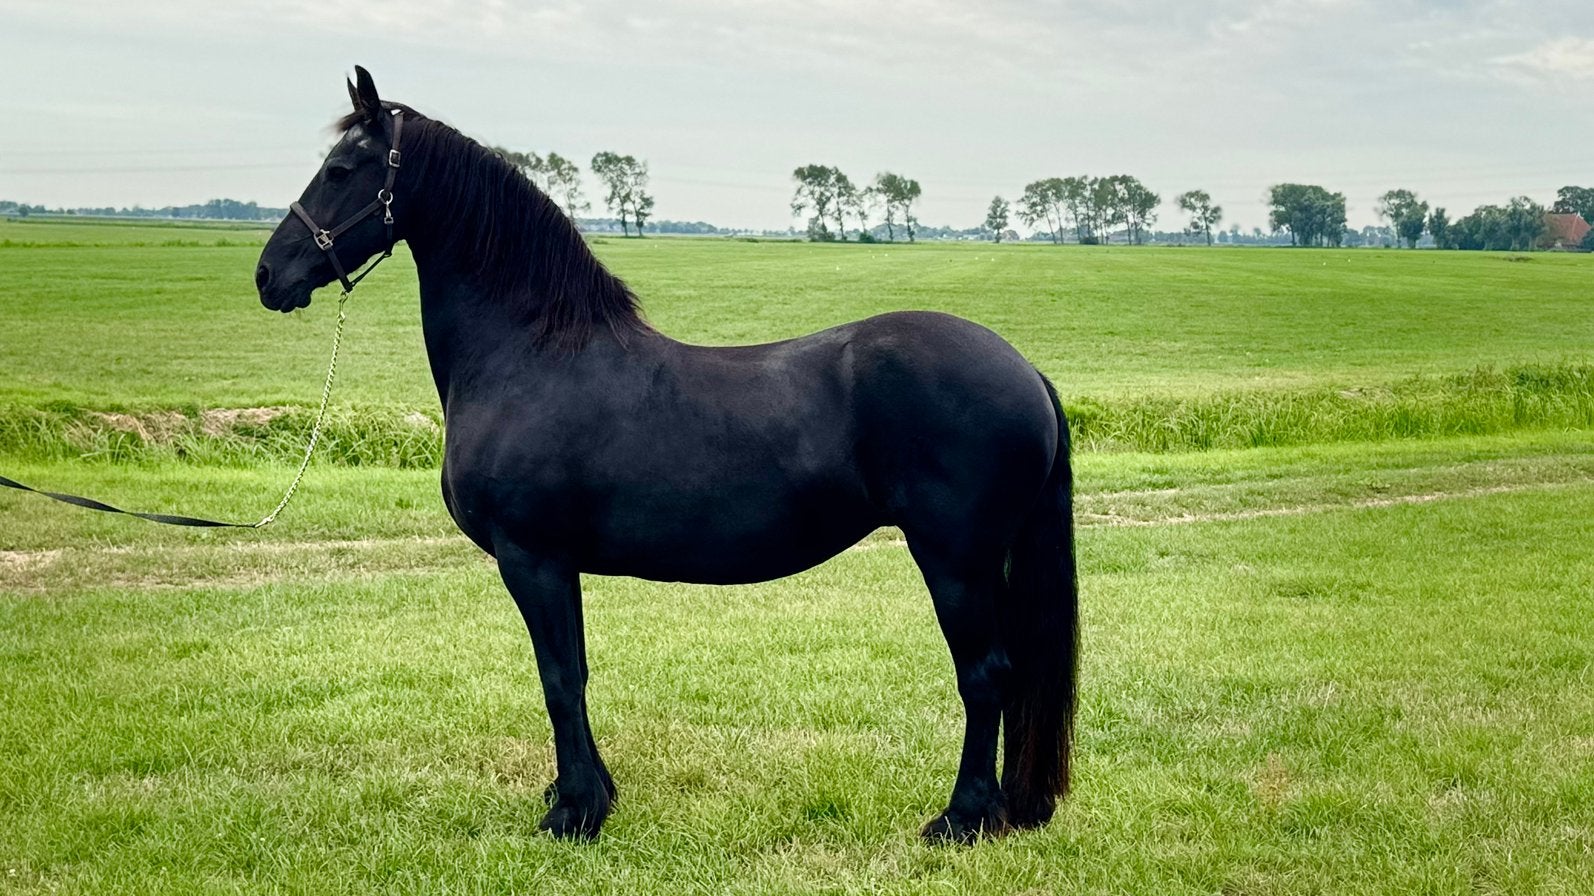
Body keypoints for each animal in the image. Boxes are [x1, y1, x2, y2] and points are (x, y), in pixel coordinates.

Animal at [254, 67, 1078, 843]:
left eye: (340, 169)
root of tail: (1027, 372)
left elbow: (558, 679)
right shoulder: (557, 563)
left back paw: (963, 818)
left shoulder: (531, 557)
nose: (269, 274)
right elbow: (576, 673)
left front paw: (573, 814)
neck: (530, 353)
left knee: (985, 677)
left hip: (955, 561)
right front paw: (587, 796)